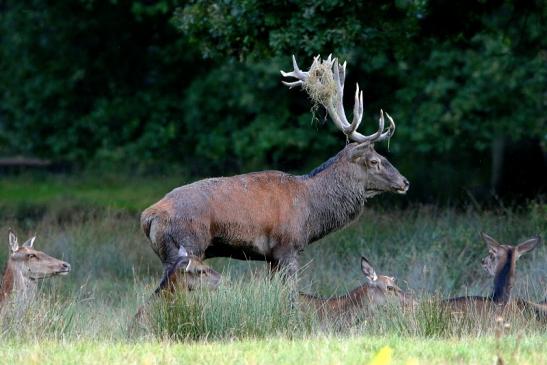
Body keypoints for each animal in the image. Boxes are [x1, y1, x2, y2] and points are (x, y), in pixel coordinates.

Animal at [141, 54, 406, 294]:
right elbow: (290, 294)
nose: (405, 182)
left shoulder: (270, 257)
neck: (310, 213)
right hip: (185, 246)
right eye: (374, 161)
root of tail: (148, 216)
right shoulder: (287, 246)